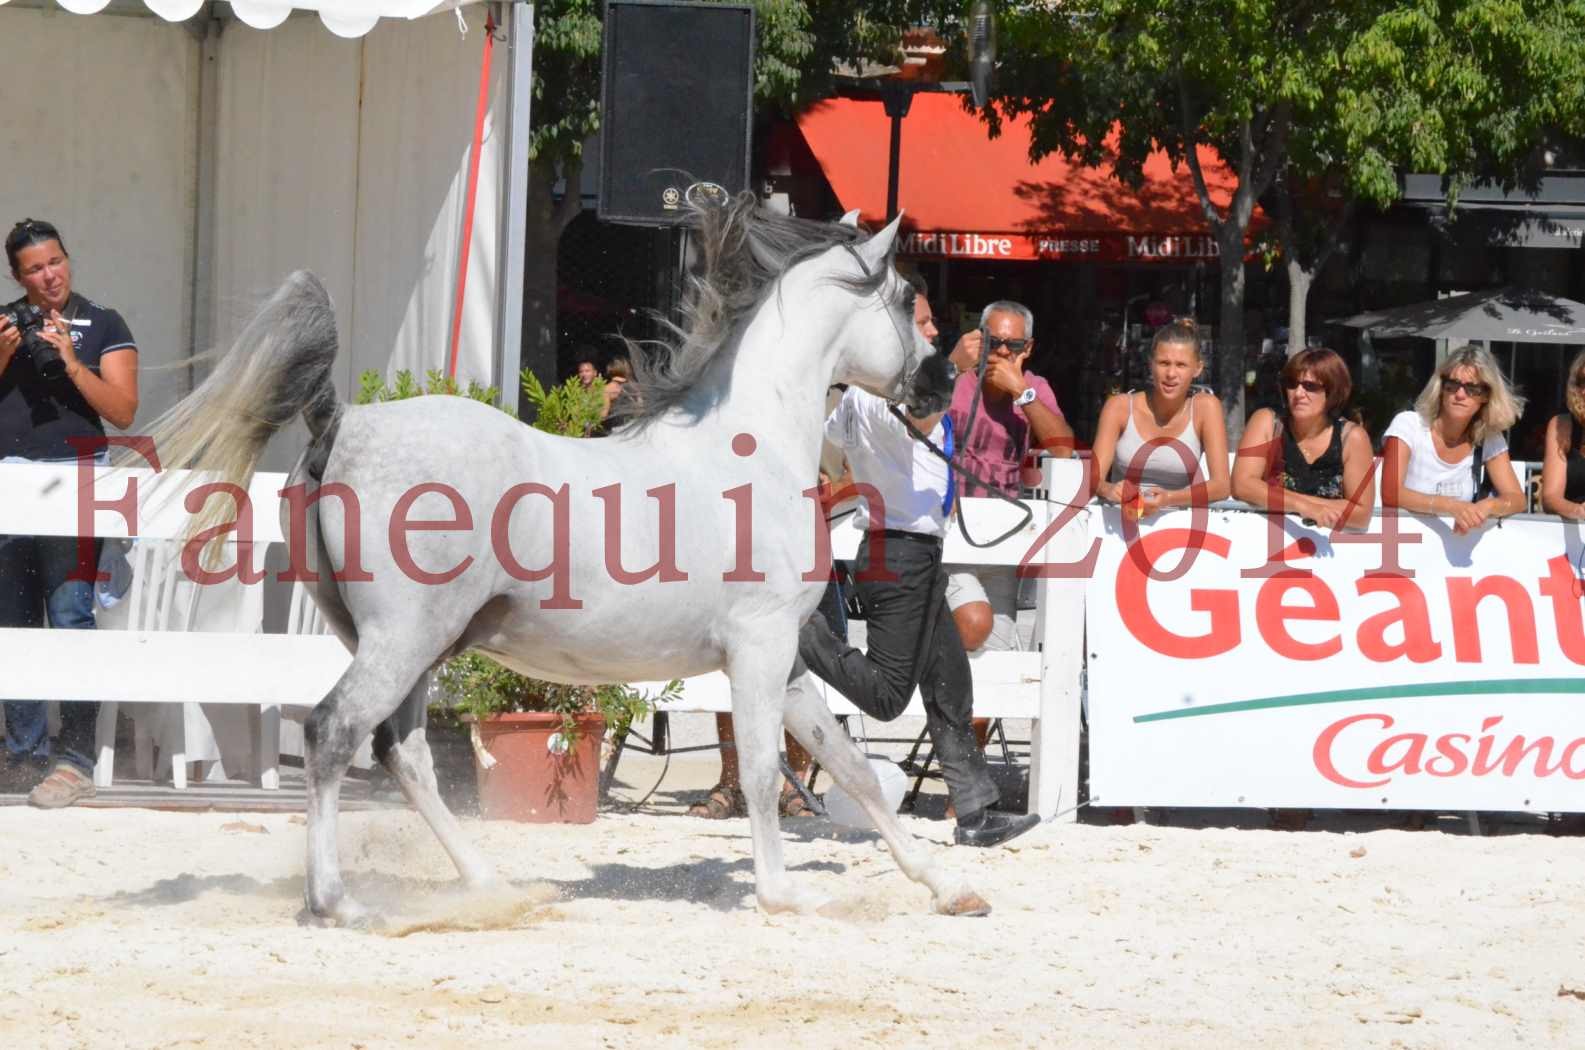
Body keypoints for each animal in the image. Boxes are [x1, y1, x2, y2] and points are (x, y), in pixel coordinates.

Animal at [148, 197, 982, 919]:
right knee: (333, 734)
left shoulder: (787, 659)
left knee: (401, 751)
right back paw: (336, 902)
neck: (750, 446)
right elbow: (759, 767)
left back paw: (494, 887)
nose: (942, 382)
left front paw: (949, 889)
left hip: (410, 645)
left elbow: (848, 768)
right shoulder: (761, 646)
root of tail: (340, 422)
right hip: (403, 639)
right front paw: (781, 894)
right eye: (906, 297)